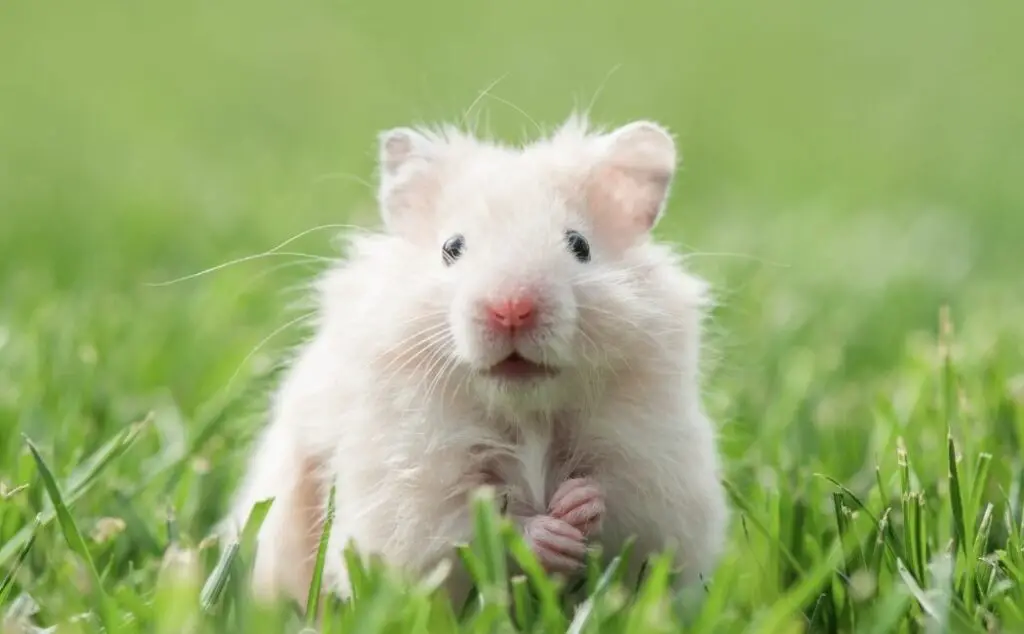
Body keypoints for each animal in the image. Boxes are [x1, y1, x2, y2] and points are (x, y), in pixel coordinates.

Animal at [223, 113, 730, 607]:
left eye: (579, 245)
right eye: (452, 248)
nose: (512, 308)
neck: (525, 411)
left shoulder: (655, 472)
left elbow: (624, 508)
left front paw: (577, 503)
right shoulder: (409, 491)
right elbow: (469, 529)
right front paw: (548, 534)